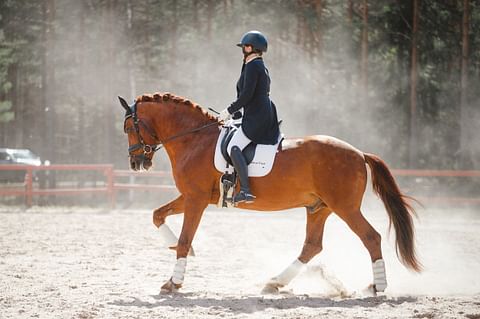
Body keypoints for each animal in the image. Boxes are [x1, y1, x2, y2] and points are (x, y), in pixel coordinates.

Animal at [119, 92, 420, 296]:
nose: (136, 162)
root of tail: (359, 153)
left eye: (129, 128)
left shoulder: (195, 200)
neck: (194, 139)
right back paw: (275, 282)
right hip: (319, 207)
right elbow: (157, 215)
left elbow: (184, 239)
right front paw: (177, 251)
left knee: (371, 237)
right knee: (312, 246)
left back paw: (377, 286)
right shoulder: (193, 197)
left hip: (345, 207)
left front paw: (174, 282)